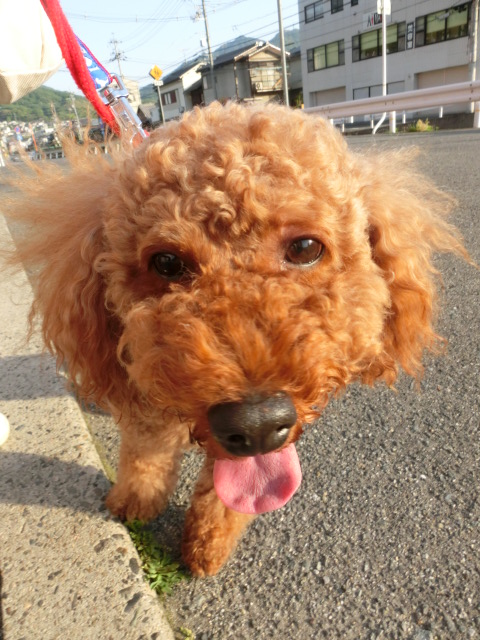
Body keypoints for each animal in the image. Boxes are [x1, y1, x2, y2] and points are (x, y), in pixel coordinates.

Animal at [6, 101, 470, 576]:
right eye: (166, 262)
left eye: (306, 248)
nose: (256, 424)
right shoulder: (149, 396)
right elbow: (145, 452)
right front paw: (135, 501)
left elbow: (225, 495)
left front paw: (207, 545)